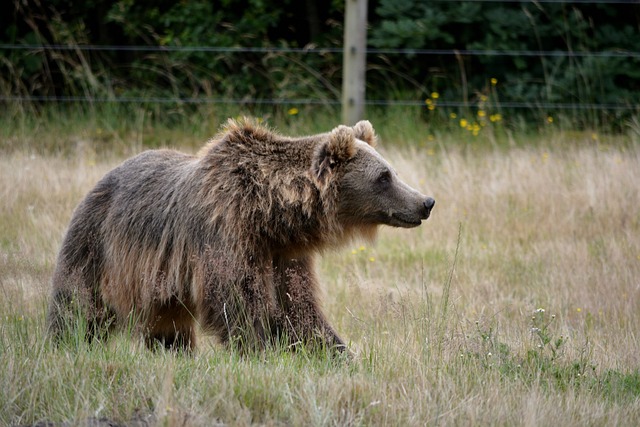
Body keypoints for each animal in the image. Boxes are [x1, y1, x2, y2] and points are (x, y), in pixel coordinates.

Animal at [47, 118, 432, 352]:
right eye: (384, 177)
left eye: (392, 170)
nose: (425, 202)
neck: (269, 215)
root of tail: (101, 179)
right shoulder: (226, 238)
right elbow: (240, 305)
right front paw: (260, 350)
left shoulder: (283, 254)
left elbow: (298, 309)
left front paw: (336, 351)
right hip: (97, 246)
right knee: (78, 303)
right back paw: (67, 342)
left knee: (166, 324)